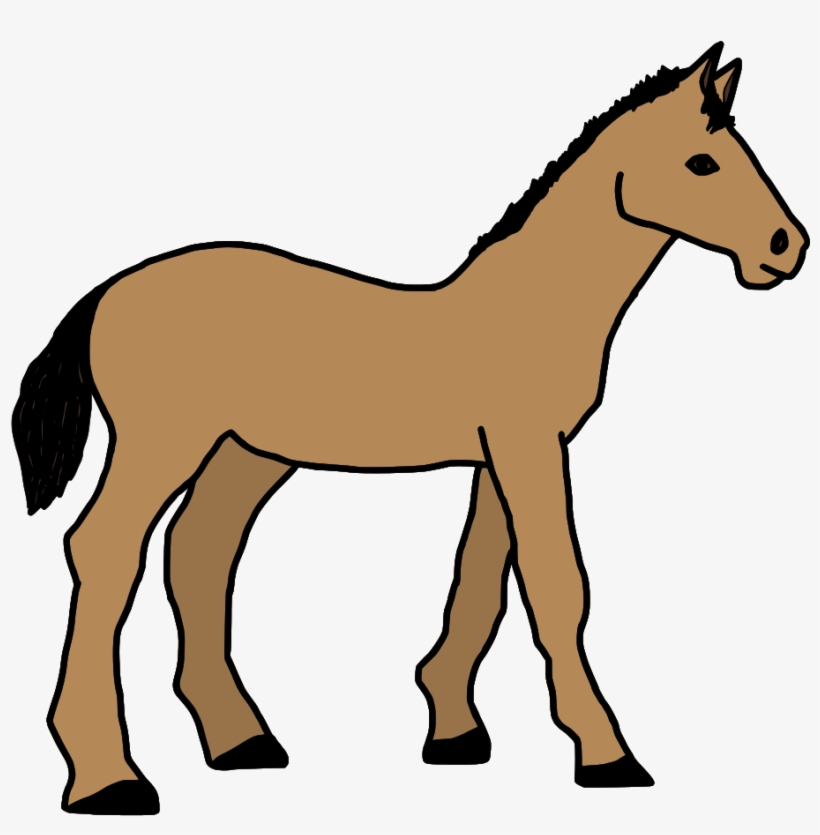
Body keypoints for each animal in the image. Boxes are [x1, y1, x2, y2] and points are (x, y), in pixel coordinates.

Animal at [11, 42, 809, 815]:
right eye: (702, 161)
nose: (786, 246)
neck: (534, 302)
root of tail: (107, 291)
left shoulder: (499, 457)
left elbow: (482, 580)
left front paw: (453, 728)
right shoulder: (528, 447)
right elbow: (557, 585)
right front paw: (605, 753)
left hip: (246, 453)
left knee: (200, 552)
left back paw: (240, 739)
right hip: (163, 444)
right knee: (106, 550)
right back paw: (107, 778)